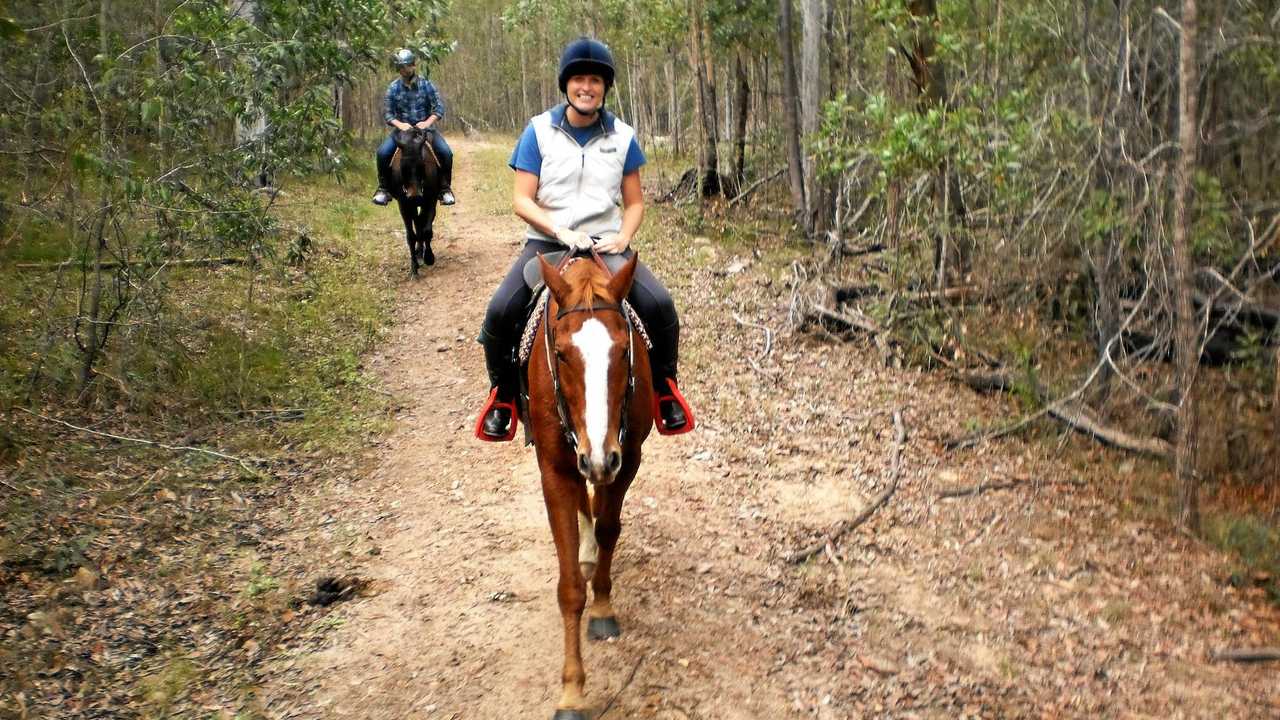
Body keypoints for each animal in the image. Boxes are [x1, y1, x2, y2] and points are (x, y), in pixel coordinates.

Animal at [527, 249, 655, 712]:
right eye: (562, 354)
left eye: (624, 349)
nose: (599, 457)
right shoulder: (555, 468)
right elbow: (568, 588)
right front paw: (571, 692)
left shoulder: (627, 456)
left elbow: (609, 528)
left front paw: (601, 608)